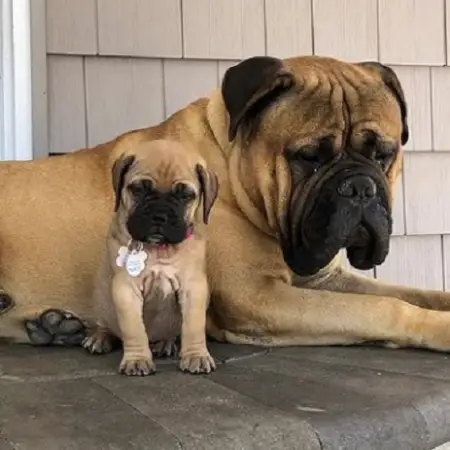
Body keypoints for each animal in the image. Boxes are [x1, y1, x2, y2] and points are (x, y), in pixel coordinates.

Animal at [83, 138, 220, 376]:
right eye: (138, 189)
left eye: (185, 195)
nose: (159, 215)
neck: (160, 250)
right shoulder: (126, 290)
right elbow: (134, 328)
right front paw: (137, 360)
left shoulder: (193, 289)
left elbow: (194, 326)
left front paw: (196, 356)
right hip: (101, 300)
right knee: (105, 324)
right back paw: (100, 338)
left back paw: (165, 343)